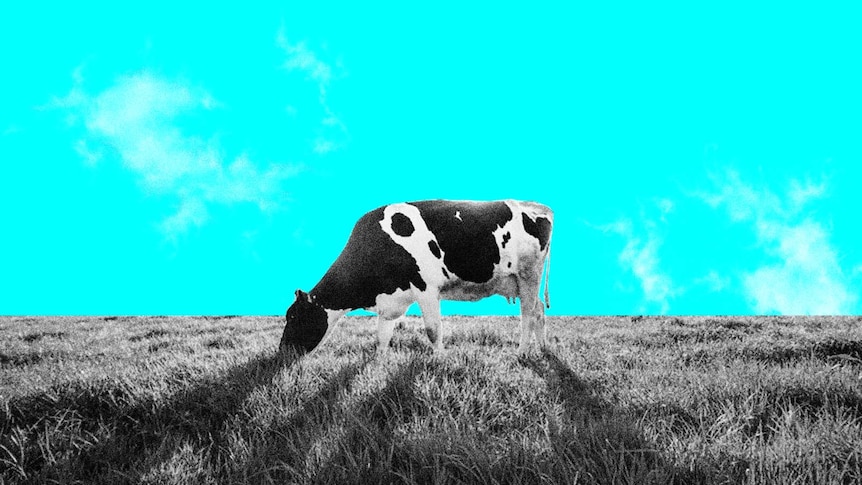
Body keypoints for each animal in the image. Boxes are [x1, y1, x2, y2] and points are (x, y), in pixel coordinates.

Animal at [280, 199, 556, 356]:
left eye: (293, 316)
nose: (282, 351)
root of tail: (538, 206)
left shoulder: (426, 289)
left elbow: (433, 331)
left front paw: (440, 359)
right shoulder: (389, 300)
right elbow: (381, 338)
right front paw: (378, 364)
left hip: (528, 274)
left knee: (528, 315)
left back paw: (521, 353)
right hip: (518, 281)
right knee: (539, 309)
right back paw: (543, 349)